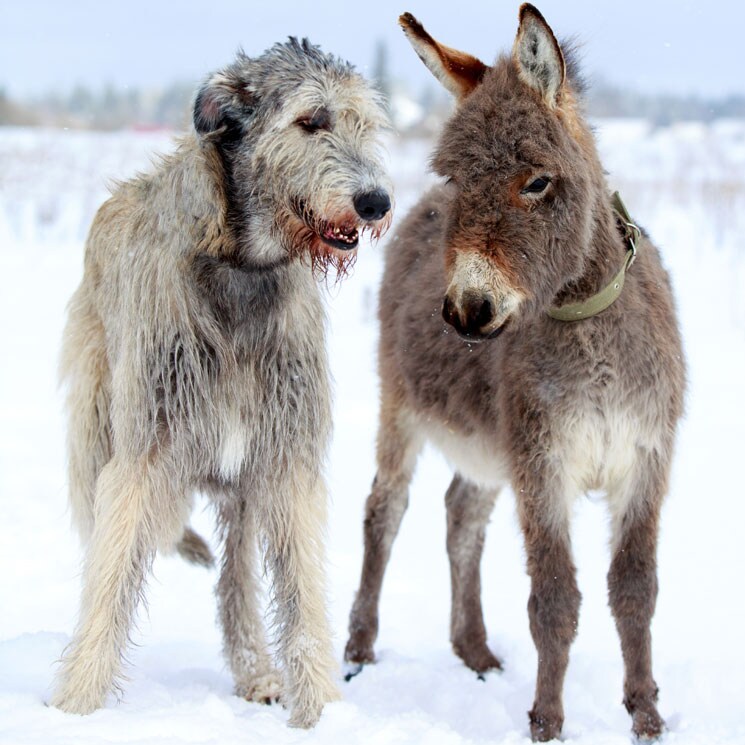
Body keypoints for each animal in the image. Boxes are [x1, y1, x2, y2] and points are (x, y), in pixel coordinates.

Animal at [346, 4, 684, 740]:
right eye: (454, 180)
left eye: (536, 182)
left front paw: (646, 713)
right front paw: (547, 721)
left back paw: (472, 649)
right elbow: (553, 599)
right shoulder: (542, 464)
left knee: (460, 514)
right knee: (385, 510)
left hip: (486, 446)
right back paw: (358, 647)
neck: (587, 322)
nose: (466, 310)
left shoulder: (642, 461)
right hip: (400, 405)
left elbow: (636, 589)